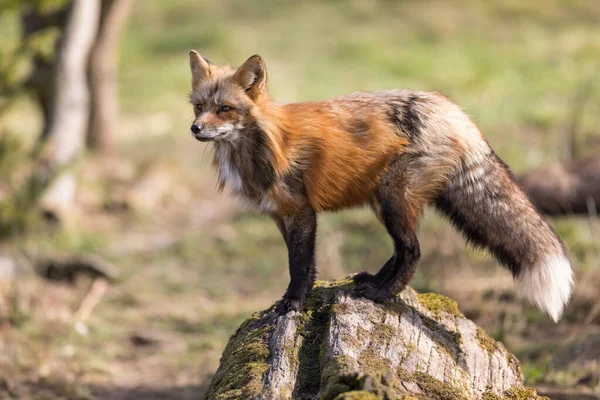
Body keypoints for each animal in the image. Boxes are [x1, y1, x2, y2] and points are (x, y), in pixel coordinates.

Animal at [188, 50, 572, 322]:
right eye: (199, 106)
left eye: (225, 109)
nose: (195, 129)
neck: (261, 144)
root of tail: (453, 109)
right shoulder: (282, 215)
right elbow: (306, 266)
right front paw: (302, 297)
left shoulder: (300, 212)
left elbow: (298, 264)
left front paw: (293, 302)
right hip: (382, 201)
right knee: (401, 249)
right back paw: (373, 281)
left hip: (393, 197)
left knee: (413, 250)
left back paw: (383, 294)